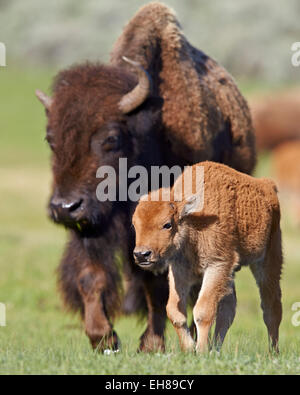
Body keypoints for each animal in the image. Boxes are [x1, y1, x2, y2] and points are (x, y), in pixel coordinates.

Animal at [35, 1, 255, 352]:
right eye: (50, 139)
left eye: (111, 139)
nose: (64, 207)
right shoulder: (94, 228)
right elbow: (91, 275)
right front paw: (104, 338)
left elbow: (157, 285)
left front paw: (151, 344)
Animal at [132, 162, 282, 354]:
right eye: (135, 224)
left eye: (167, 224)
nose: (141, 254)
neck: (194, 219)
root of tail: (268, 185)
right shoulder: (179, 271)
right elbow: (174, 311)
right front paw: (189, 349)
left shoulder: (217, 265)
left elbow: (203, 311)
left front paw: (201, 350)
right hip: (231, 274)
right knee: (228, 310)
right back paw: (216, 349)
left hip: (269, 259)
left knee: (271, 307)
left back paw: (273, 353)